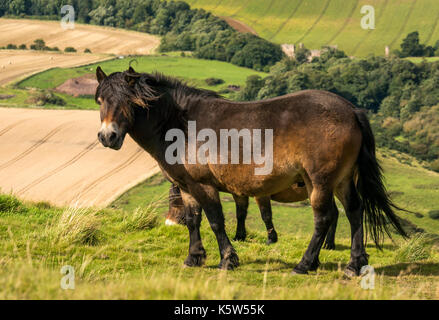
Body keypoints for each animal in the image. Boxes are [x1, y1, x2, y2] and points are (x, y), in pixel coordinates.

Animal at [94, 66, 408, 276]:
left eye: (129, 101)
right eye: (101, 100)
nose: (108, 136)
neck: (181, 125)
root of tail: (351, 110)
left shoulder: (205, 185)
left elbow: (216, 221)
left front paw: (227, 260)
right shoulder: (186, 186)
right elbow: (193, 220)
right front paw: (194, 258)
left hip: (320, 182)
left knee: (325, 218)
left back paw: (304, 264)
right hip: (340, 181)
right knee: (355, 212)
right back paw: (355, 264)